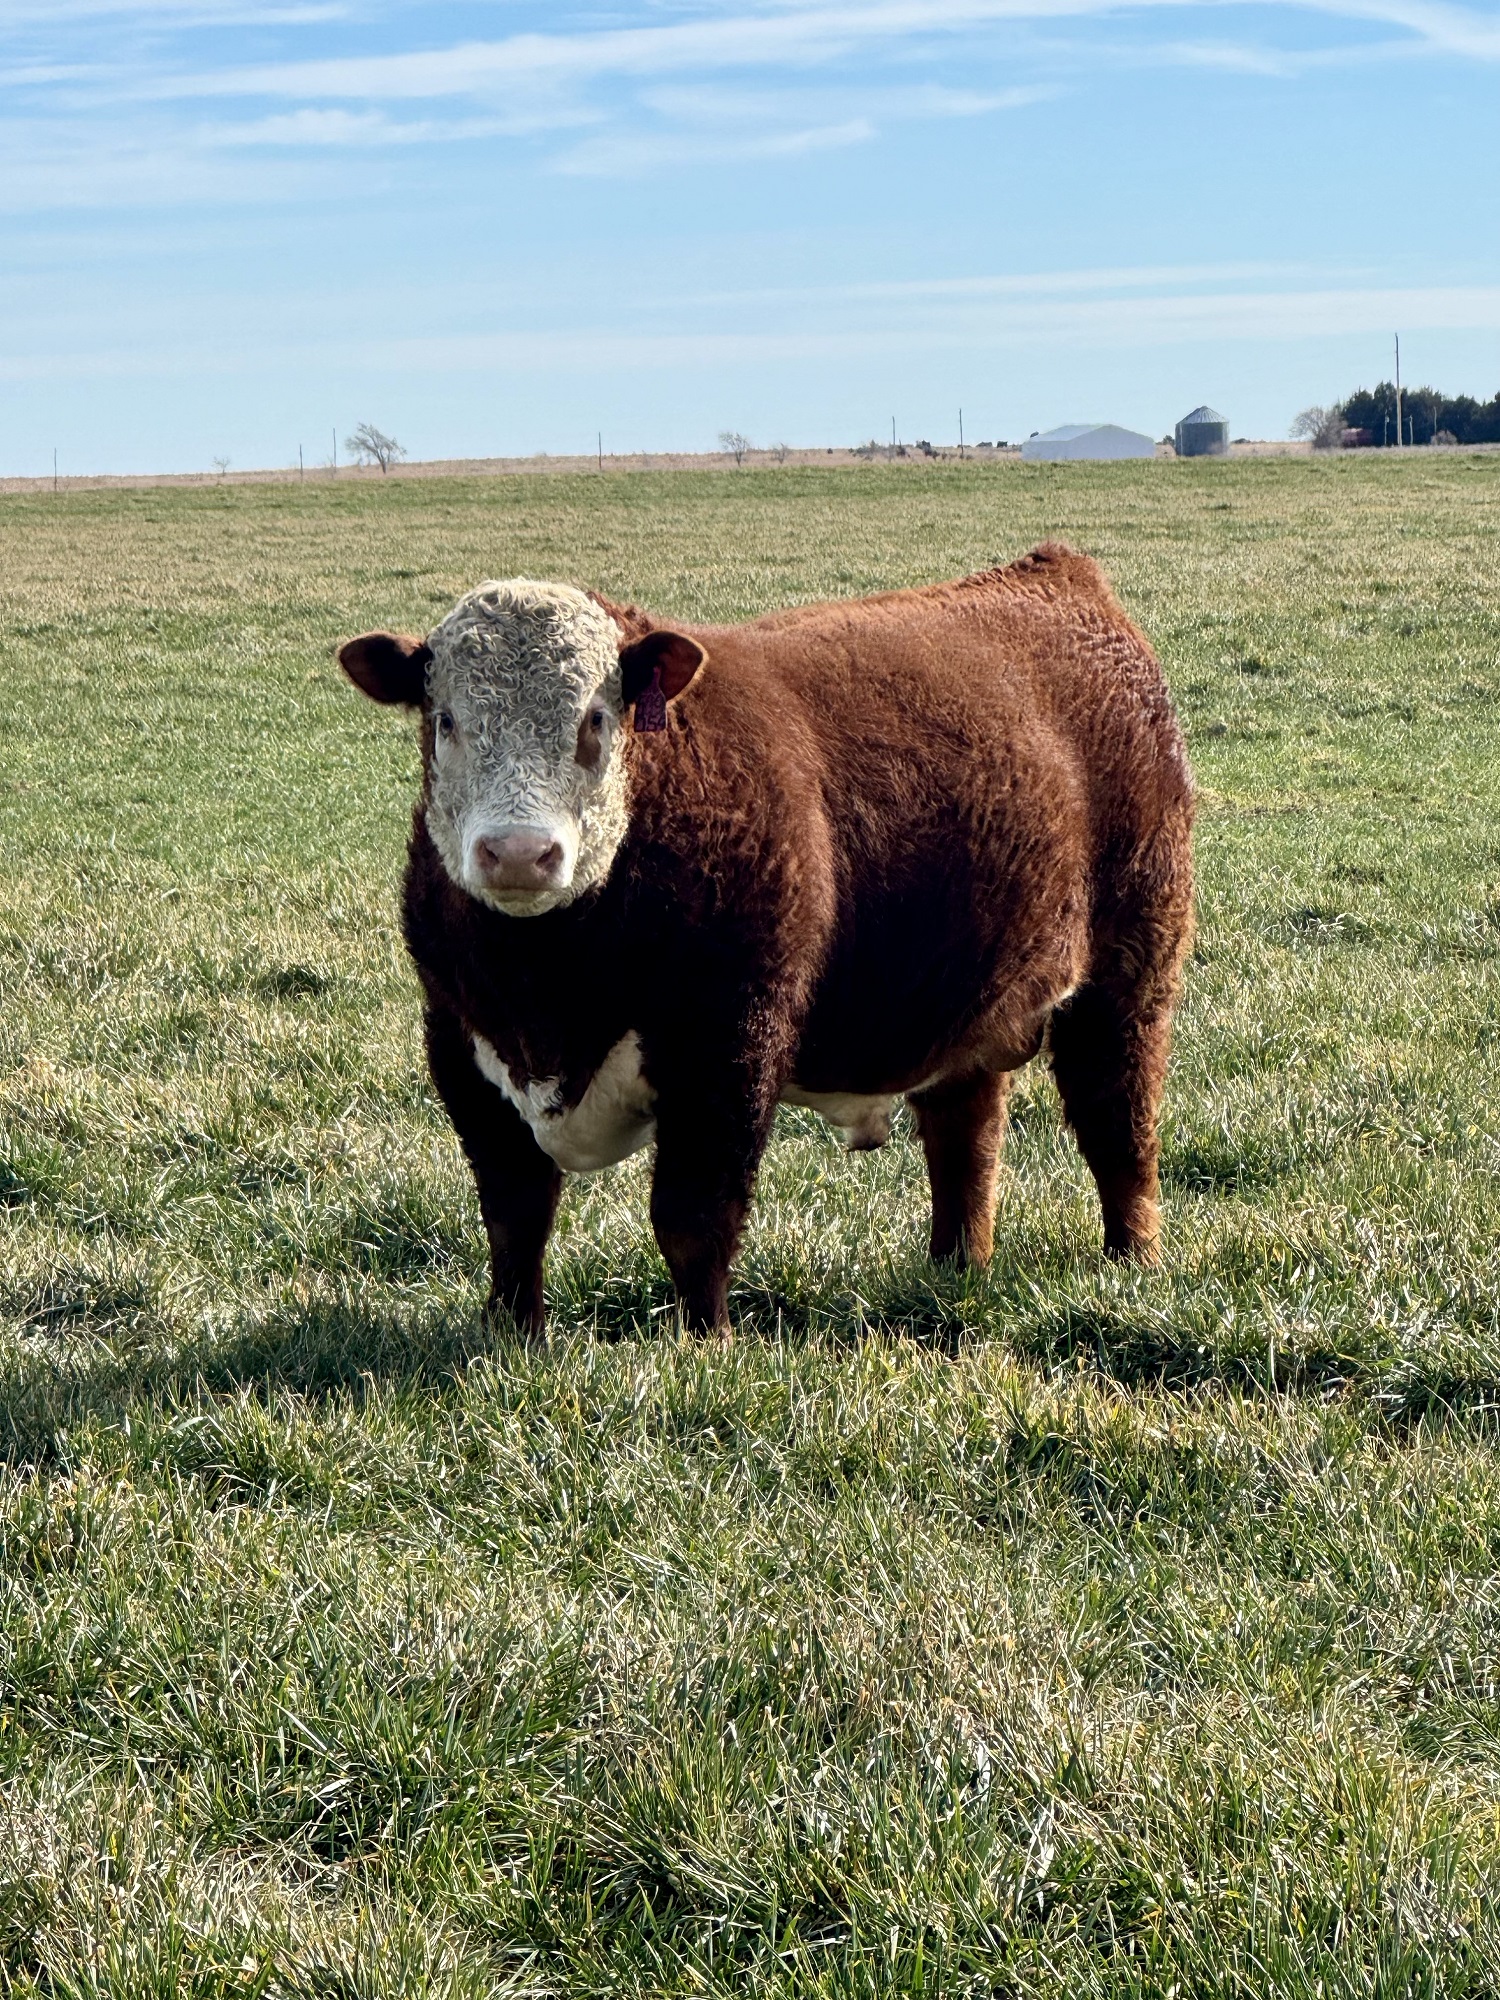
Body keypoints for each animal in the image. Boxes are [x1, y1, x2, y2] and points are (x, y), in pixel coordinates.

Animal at [337, 545, 1194, 1335]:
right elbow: (515, 1215)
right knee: (966, 1139)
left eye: (595, 719)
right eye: (446, 721)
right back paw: (956, 1269)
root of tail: (1056, 576)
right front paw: (514, 1333)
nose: (518, 853)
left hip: (1132, 969)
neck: (546, 990)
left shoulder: (727, 1049)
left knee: (1119, 1118)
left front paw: (705, 1341)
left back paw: (1131, 1261)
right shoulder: (460, 1046)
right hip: (963, 998)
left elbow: (692, 1219)